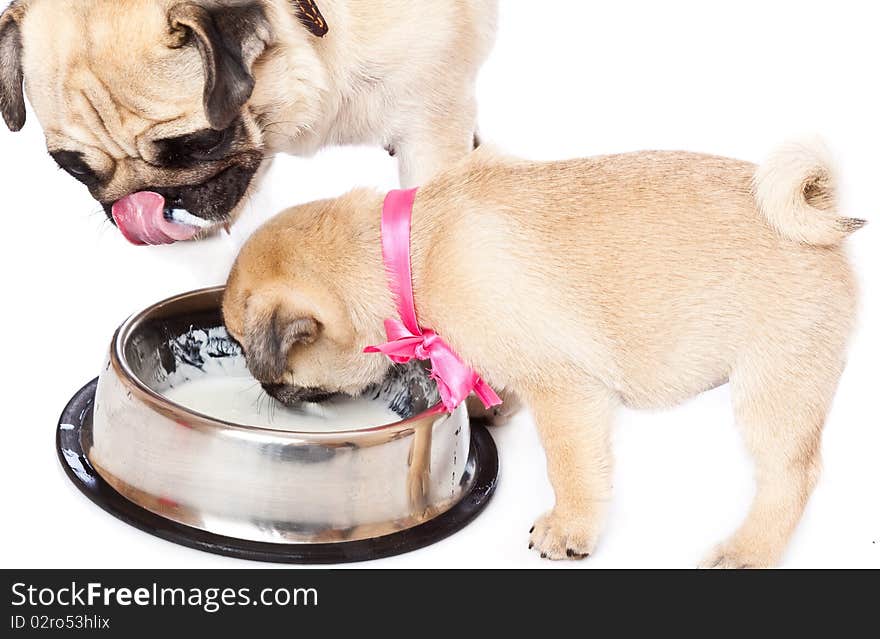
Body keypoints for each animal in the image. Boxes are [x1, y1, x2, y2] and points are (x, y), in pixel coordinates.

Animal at [225, 142, 868, 568]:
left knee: (791, 474)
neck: (406, 254)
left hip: (775, 382)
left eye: (250, 351)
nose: (260, 386)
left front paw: (570, 527)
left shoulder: (565, 392)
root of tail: (820, 216)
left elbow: (571, 467)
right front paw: (483, 404)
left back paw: (748, 550)